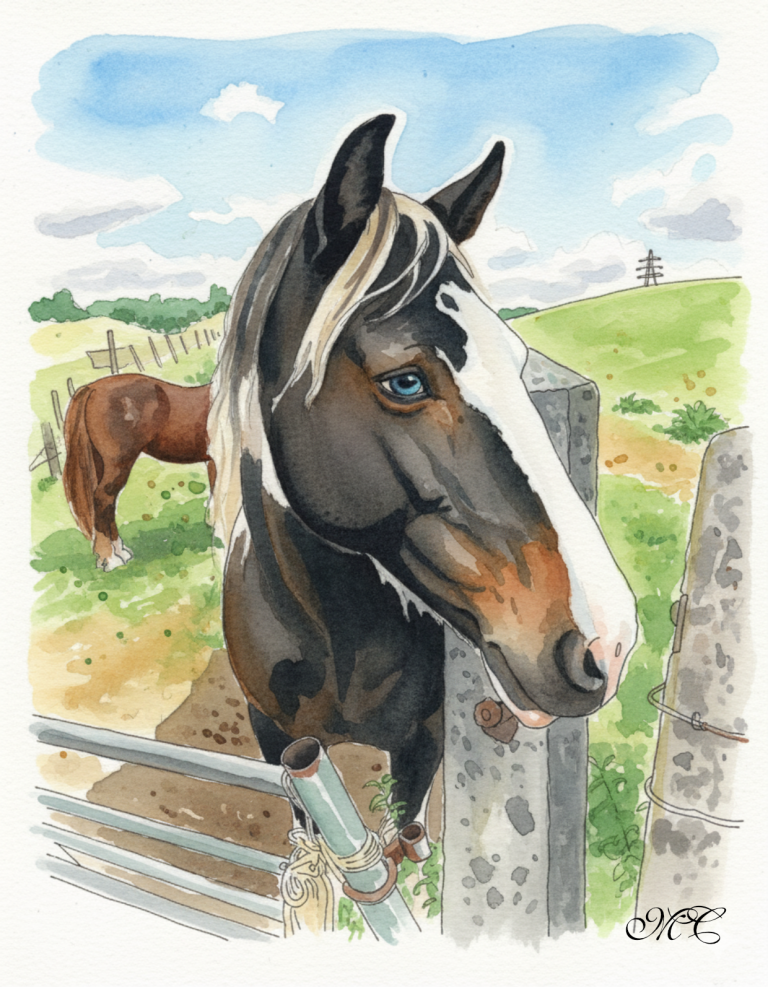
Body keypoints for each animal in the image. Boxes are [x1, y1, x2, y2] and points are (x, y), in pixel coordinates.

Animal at [63, 375, 214, 570]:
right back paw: (110, 558)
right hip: (119, 464)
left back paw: (119, 552)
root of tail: (92, 388)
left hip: (99, 463)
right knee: (103, 499)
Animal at [208, 114, 638, 825]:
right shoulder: (280, 741)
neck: (337, 643)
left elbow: (401, 837)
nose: (606, 642)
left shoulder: (423, 742)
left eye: (516, 360)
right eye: (405, 380)